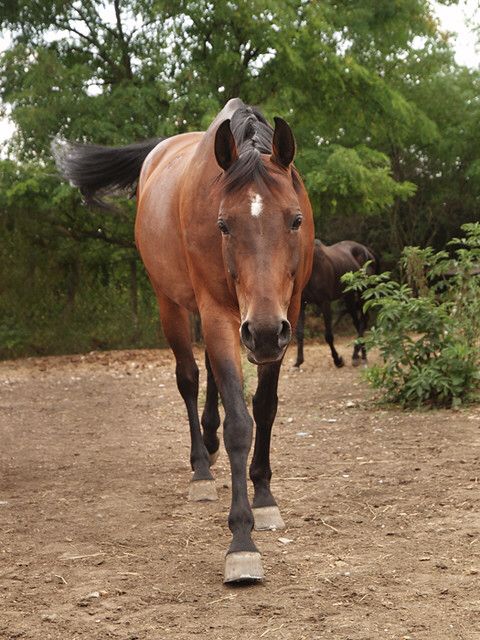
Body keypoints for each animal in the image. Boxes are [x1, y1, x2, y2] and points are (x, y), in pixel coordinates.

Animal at [53, 100, 316, 584]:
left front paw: (265, 497)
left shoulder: (285, 313)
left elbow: (264, 408)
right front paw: (242, 542)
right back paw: (200, 468)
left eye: (295, 220)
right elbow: (239, 424)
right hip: (173, 306)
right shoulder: (220, 314)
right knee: (190, 378)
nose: (263, 331)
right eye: (223, 225)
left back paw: (208, 447)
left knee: (211, 373)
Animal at [292, 240, 378, 368]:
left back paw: (356, 356)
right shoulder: (302, 304)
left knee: (363, 320)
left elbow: (328, 335)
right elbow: (300, 333)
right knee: (357, 322)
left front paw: (338, 360)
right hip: (349, 296)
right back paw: (361, 355)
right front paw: (298, 362)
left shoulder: (325, 303)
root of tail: (367, 250)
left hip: (363, 292)